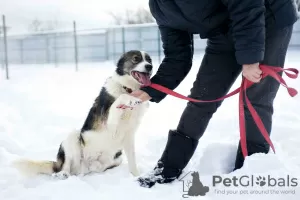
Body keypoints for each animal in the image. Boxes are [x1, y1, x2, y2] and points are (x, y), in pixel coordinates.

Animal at [12, 50, 152, 178]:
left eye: (149, 60)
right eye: (136, 59)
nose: (150, 66)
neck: (128, 88)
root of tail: (83, 168)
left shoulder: (129, 135)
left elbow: (132, 160)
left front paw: (136, 176)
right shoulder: (110, 123)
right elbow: (121, 98)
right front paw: (131, 99)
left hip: (117, 157)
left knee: (98, 167)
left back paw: (95, 165)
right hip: (73, 137)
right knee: (67, 165)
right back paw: (63, 173)